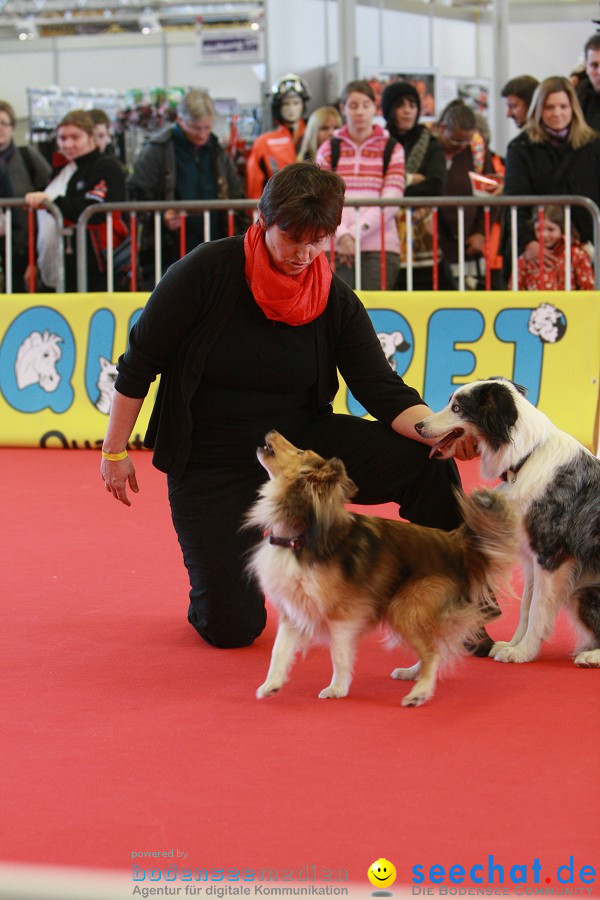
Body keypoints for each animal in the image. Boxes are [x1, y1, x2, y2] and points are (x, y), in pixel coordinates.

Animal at [246, 432, 516, 708]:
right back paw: (412, 673)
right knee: (435, 647)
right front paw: (271, 685)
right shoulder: (293, 609)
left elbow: (339, 654)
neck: (298, 538)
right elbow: (279, 650)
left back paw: (419, 692)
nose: (270, 432)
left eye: (300, 452)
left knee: (432, 652)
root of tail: (455, 545)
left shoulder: (341, 615)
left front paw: (337, 688)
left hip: (406, 608)